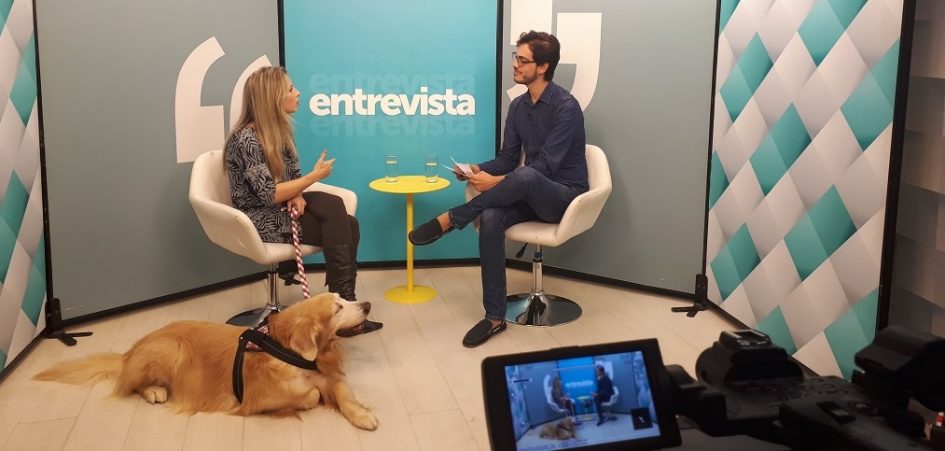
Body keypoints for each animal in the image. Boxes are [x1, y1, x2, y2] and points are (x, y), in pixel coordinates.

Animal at [34, 294, 380, 430]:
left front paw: (362, 414)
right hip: (170, 349)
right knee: (131, 385)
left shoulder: (330, 375)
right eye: (338, 308)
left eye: (344, 299)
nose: (366, 304)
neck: (287, 351)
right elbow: (309, 396)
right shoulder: (259, 399)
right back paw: (154, 391)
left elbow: (343, 393)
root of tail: (130, 351)